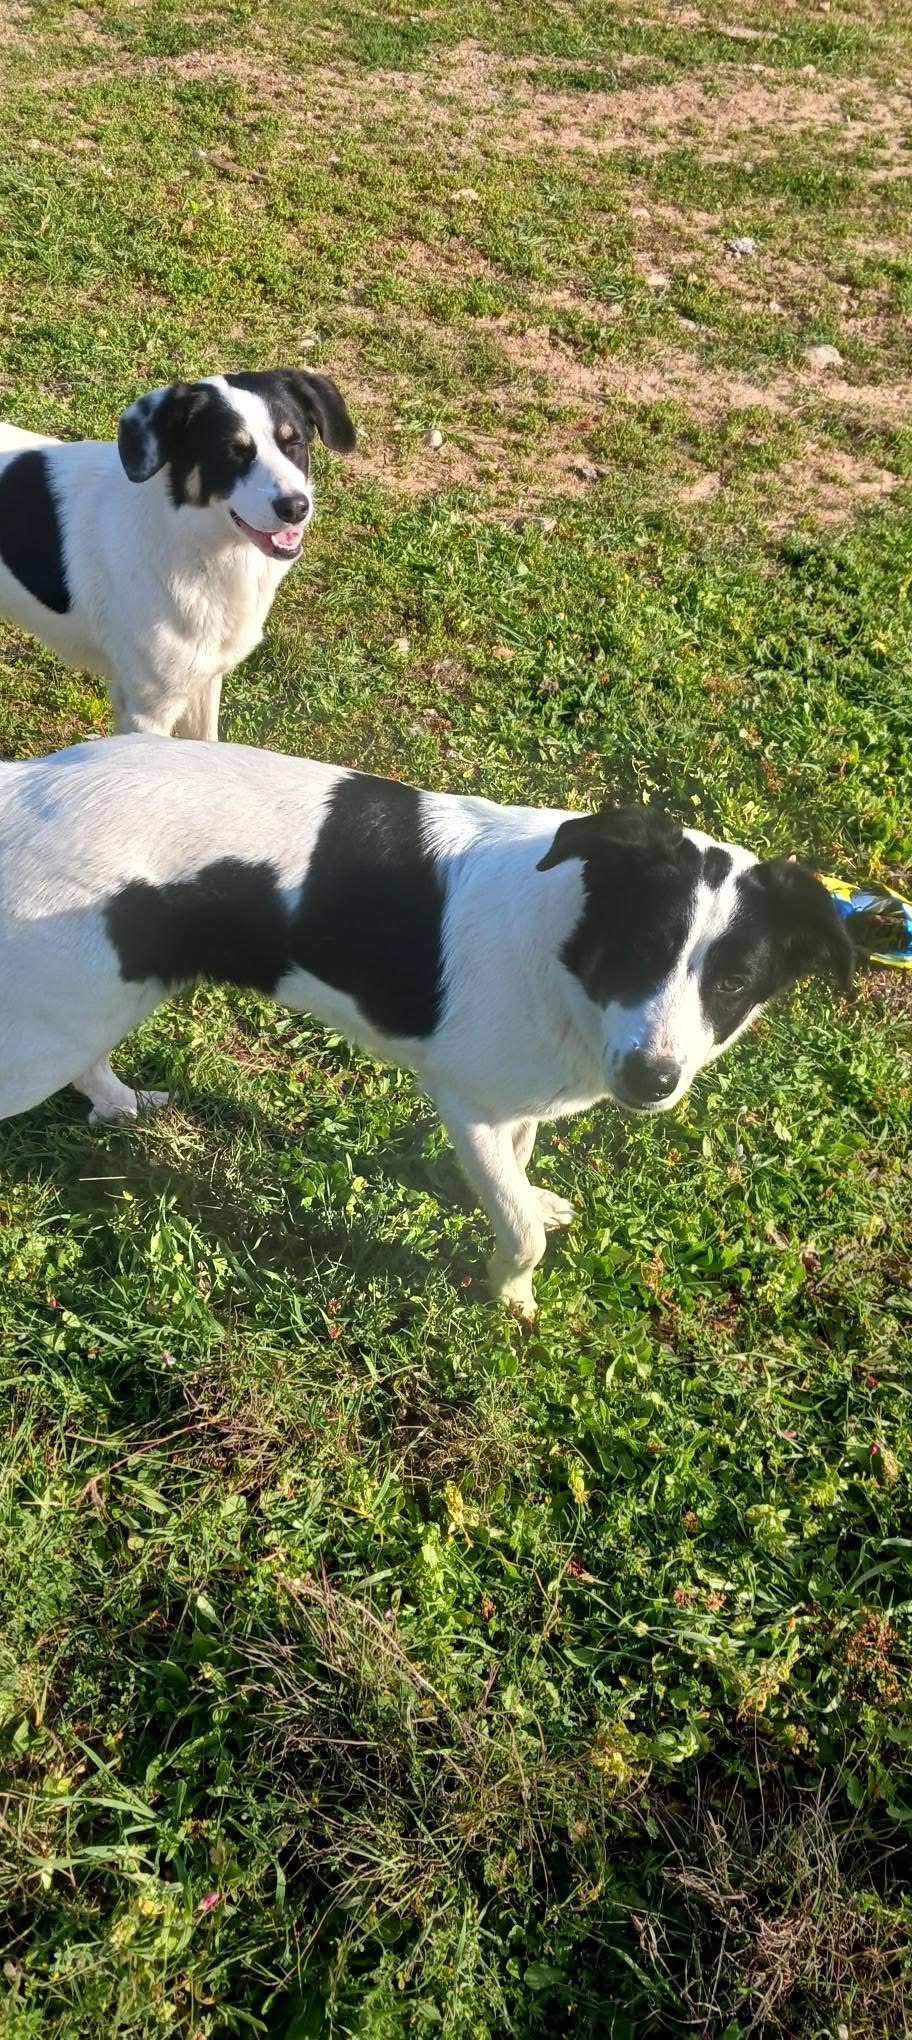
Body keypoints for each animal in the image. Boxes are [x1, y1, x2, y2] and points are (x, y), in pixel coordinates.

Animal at [0, 370, 355, 740]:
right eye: (231, 452)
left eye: (294, 442)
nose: (296, 507)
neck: (194, 545)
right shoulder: (147, 712)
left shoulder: (204, 680)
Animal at [0, 737, 852, 1316]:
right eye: (640, 952)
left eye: (732, 983)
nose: (653, 1079)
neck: (563, 951)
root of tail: (24, 779)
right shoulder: (466, 1104)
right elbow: (519, 1225)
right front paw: (512, 1294)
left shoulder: (515, 1100)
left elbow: (520, 1172)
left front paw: (531, 1203)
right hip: (52, 1029)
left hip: (97, 1001)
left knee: (91, 1062)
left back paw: (118, 1104)